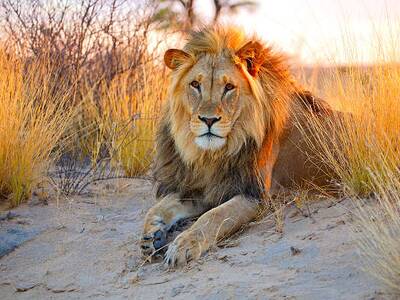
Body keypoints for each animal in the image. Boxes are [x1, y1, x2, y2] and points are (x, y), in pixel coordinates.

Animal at [140, 27, 334, 268]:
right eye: (195, 85)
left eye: (229, 87)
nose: (208, 120)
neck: (213, 155)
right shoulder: (206, 187)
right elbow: (159, 207)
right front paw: (151, 235)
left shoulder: (255, 195)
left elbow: (213, 217)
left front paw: (183, 245)